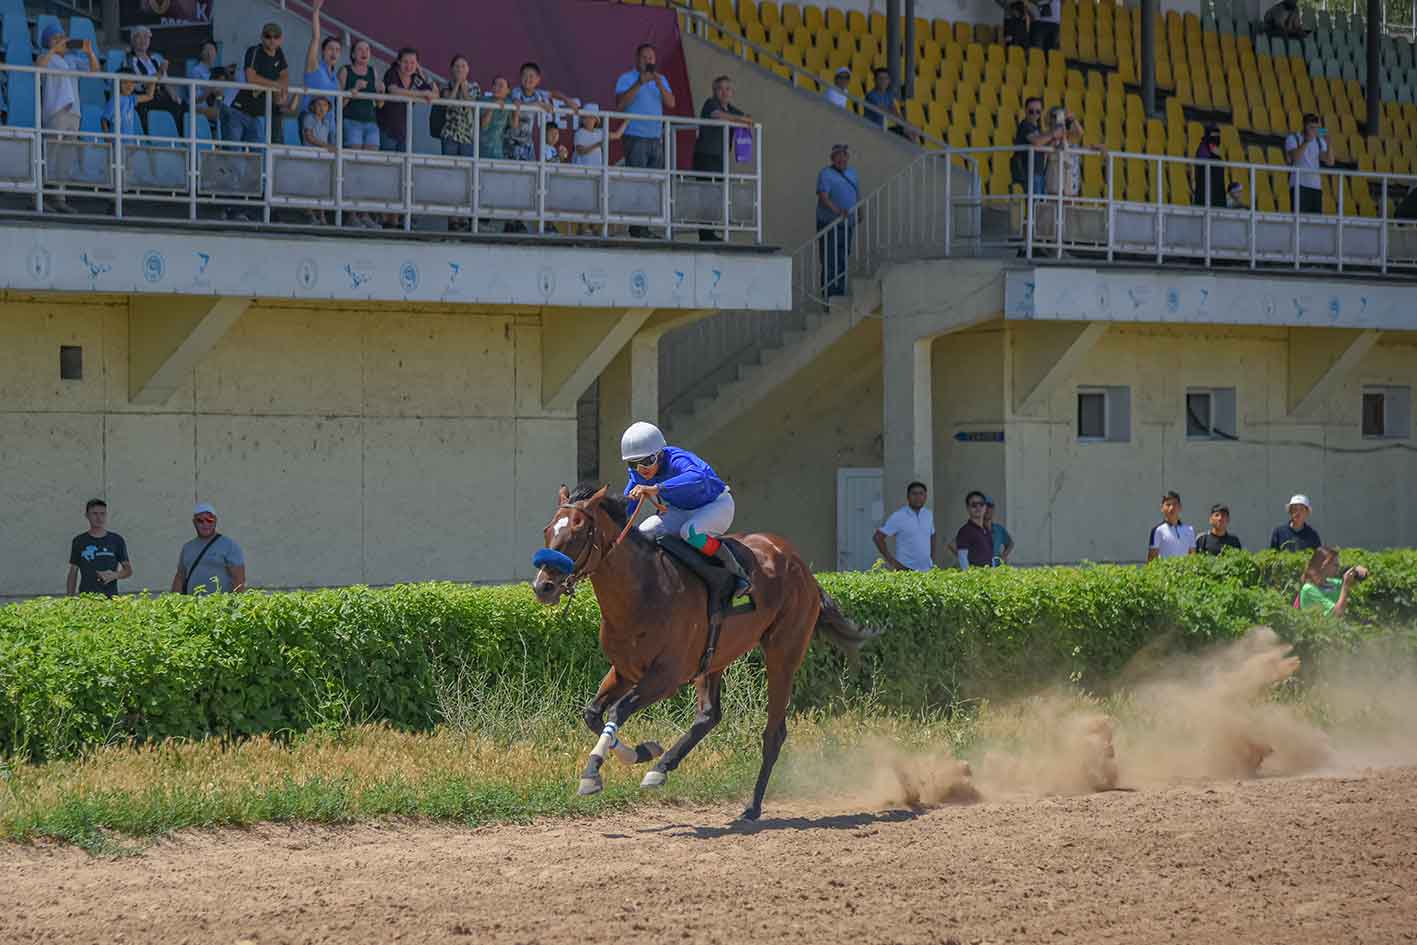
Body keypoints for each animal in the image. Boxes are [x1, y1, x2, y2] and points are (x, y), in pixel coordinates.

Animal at [531, 484, 877, 820]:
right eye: (548, 530)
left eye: (577, 532)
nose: (542, 587)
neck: (642, 590)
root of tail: (801, 566)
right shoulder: (625, 670)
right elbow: (592, 714)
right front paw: (645, 752)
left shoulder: (665, 677)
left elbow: (617, 711)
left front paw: (592, 774)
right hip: (714, 658)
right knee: (709, 715)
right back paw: (661, 768)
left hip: (783, 651)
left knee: (774, 732)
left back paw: (752, 806)